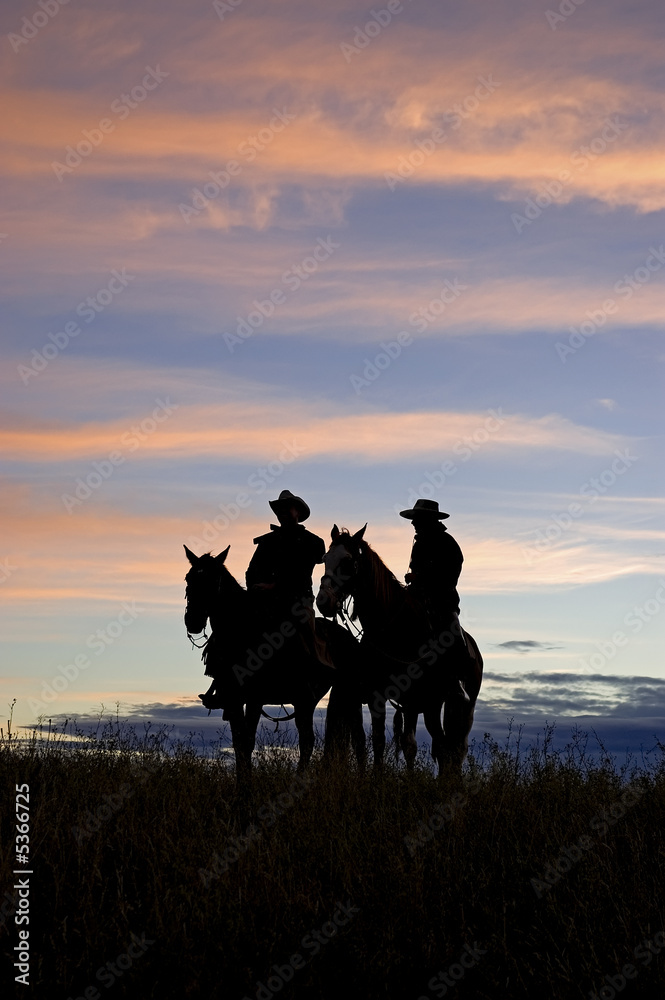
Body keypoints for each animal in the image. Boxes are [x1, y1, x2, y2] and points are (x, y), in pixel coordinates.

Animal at [316, 528, 482, 776]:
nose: (323, 601)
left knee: (454, 748)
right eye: (326, 559)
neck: (396, 628)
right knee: (441, 745)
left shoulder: (417, 699)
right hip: (430, 706)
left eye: (347, 561)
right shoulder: (381, 696)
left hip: (461, 706)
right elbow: (383, 741)